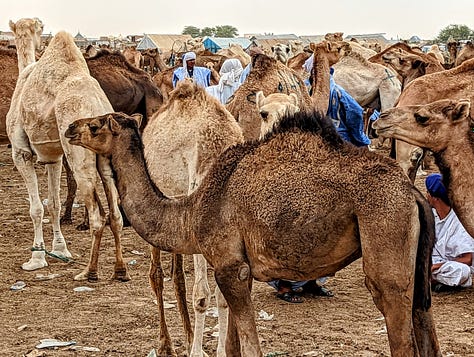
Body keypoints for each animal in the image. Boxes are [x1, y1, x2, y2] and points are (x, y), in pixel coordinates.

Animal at [6, 29, 128, 280]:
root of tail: (97, 107)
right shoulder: (53, 156)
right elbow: (53, 204)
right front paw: (61, 250)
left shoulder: (21, 153)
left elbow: (36, 208)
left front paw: (36, 258)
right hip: (105, 157)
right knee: (115, 215)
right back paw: (120, 270)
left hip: (79, 155)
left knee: (97, 216)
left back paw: (89, 272)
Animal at [65, 109, 440, 356]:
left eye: (95, 125)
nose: (69, 128)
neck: (191, 212)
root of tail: (412, 192)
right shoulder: (232, 267)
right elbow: (232, 346)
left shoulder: (231, 267)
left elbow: (249, 347)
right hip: (416, 258)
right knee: (424, 320)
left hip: (385, 227)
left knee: (395, 317)